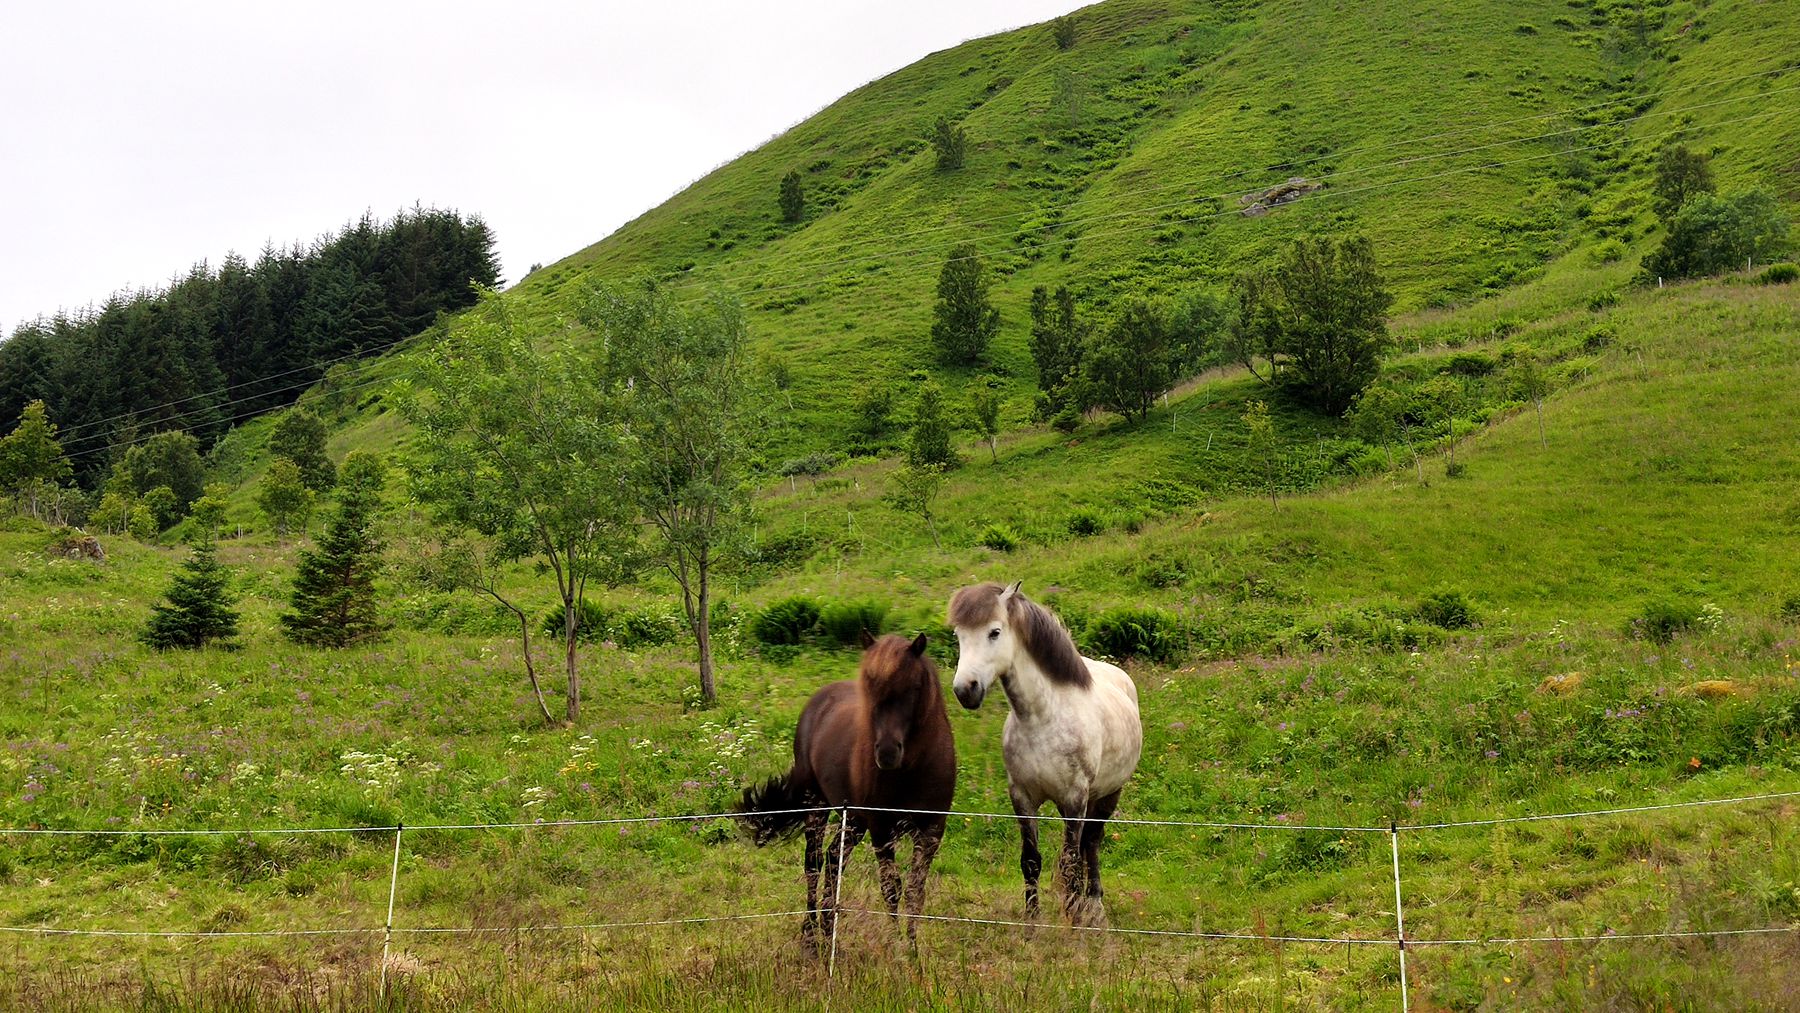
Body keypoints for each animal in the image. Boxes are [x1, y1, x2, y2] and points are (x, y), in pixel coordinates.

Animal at [734, 633, 957, 950]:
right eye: (869, 689)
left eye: (914, 687)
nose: (887, 753)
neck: (914, 768)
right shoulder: (881, 828)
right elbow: (891, 888)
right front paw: (895, 946)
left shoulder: (932, 829)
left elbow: (916, 891)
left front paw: (912, 950)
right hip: (818, 806)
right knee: (813, 863)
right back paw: (811, 934)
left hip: (852, 818)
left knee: (832, 860)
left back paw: (828, 928)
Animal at [950, 582, 1144, 921]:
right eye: (959, 635)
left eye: (994, 632)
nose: (965, 690)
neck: (1042, 718)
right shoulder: (1023, 796)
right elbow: (1031, 861)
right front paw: (1033, 921)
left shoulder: (1075, 797)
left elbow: (1071, 863)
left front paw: (1075, 920)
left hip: (1109, 793)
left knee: (1092, 842)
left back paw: (1094, 905)